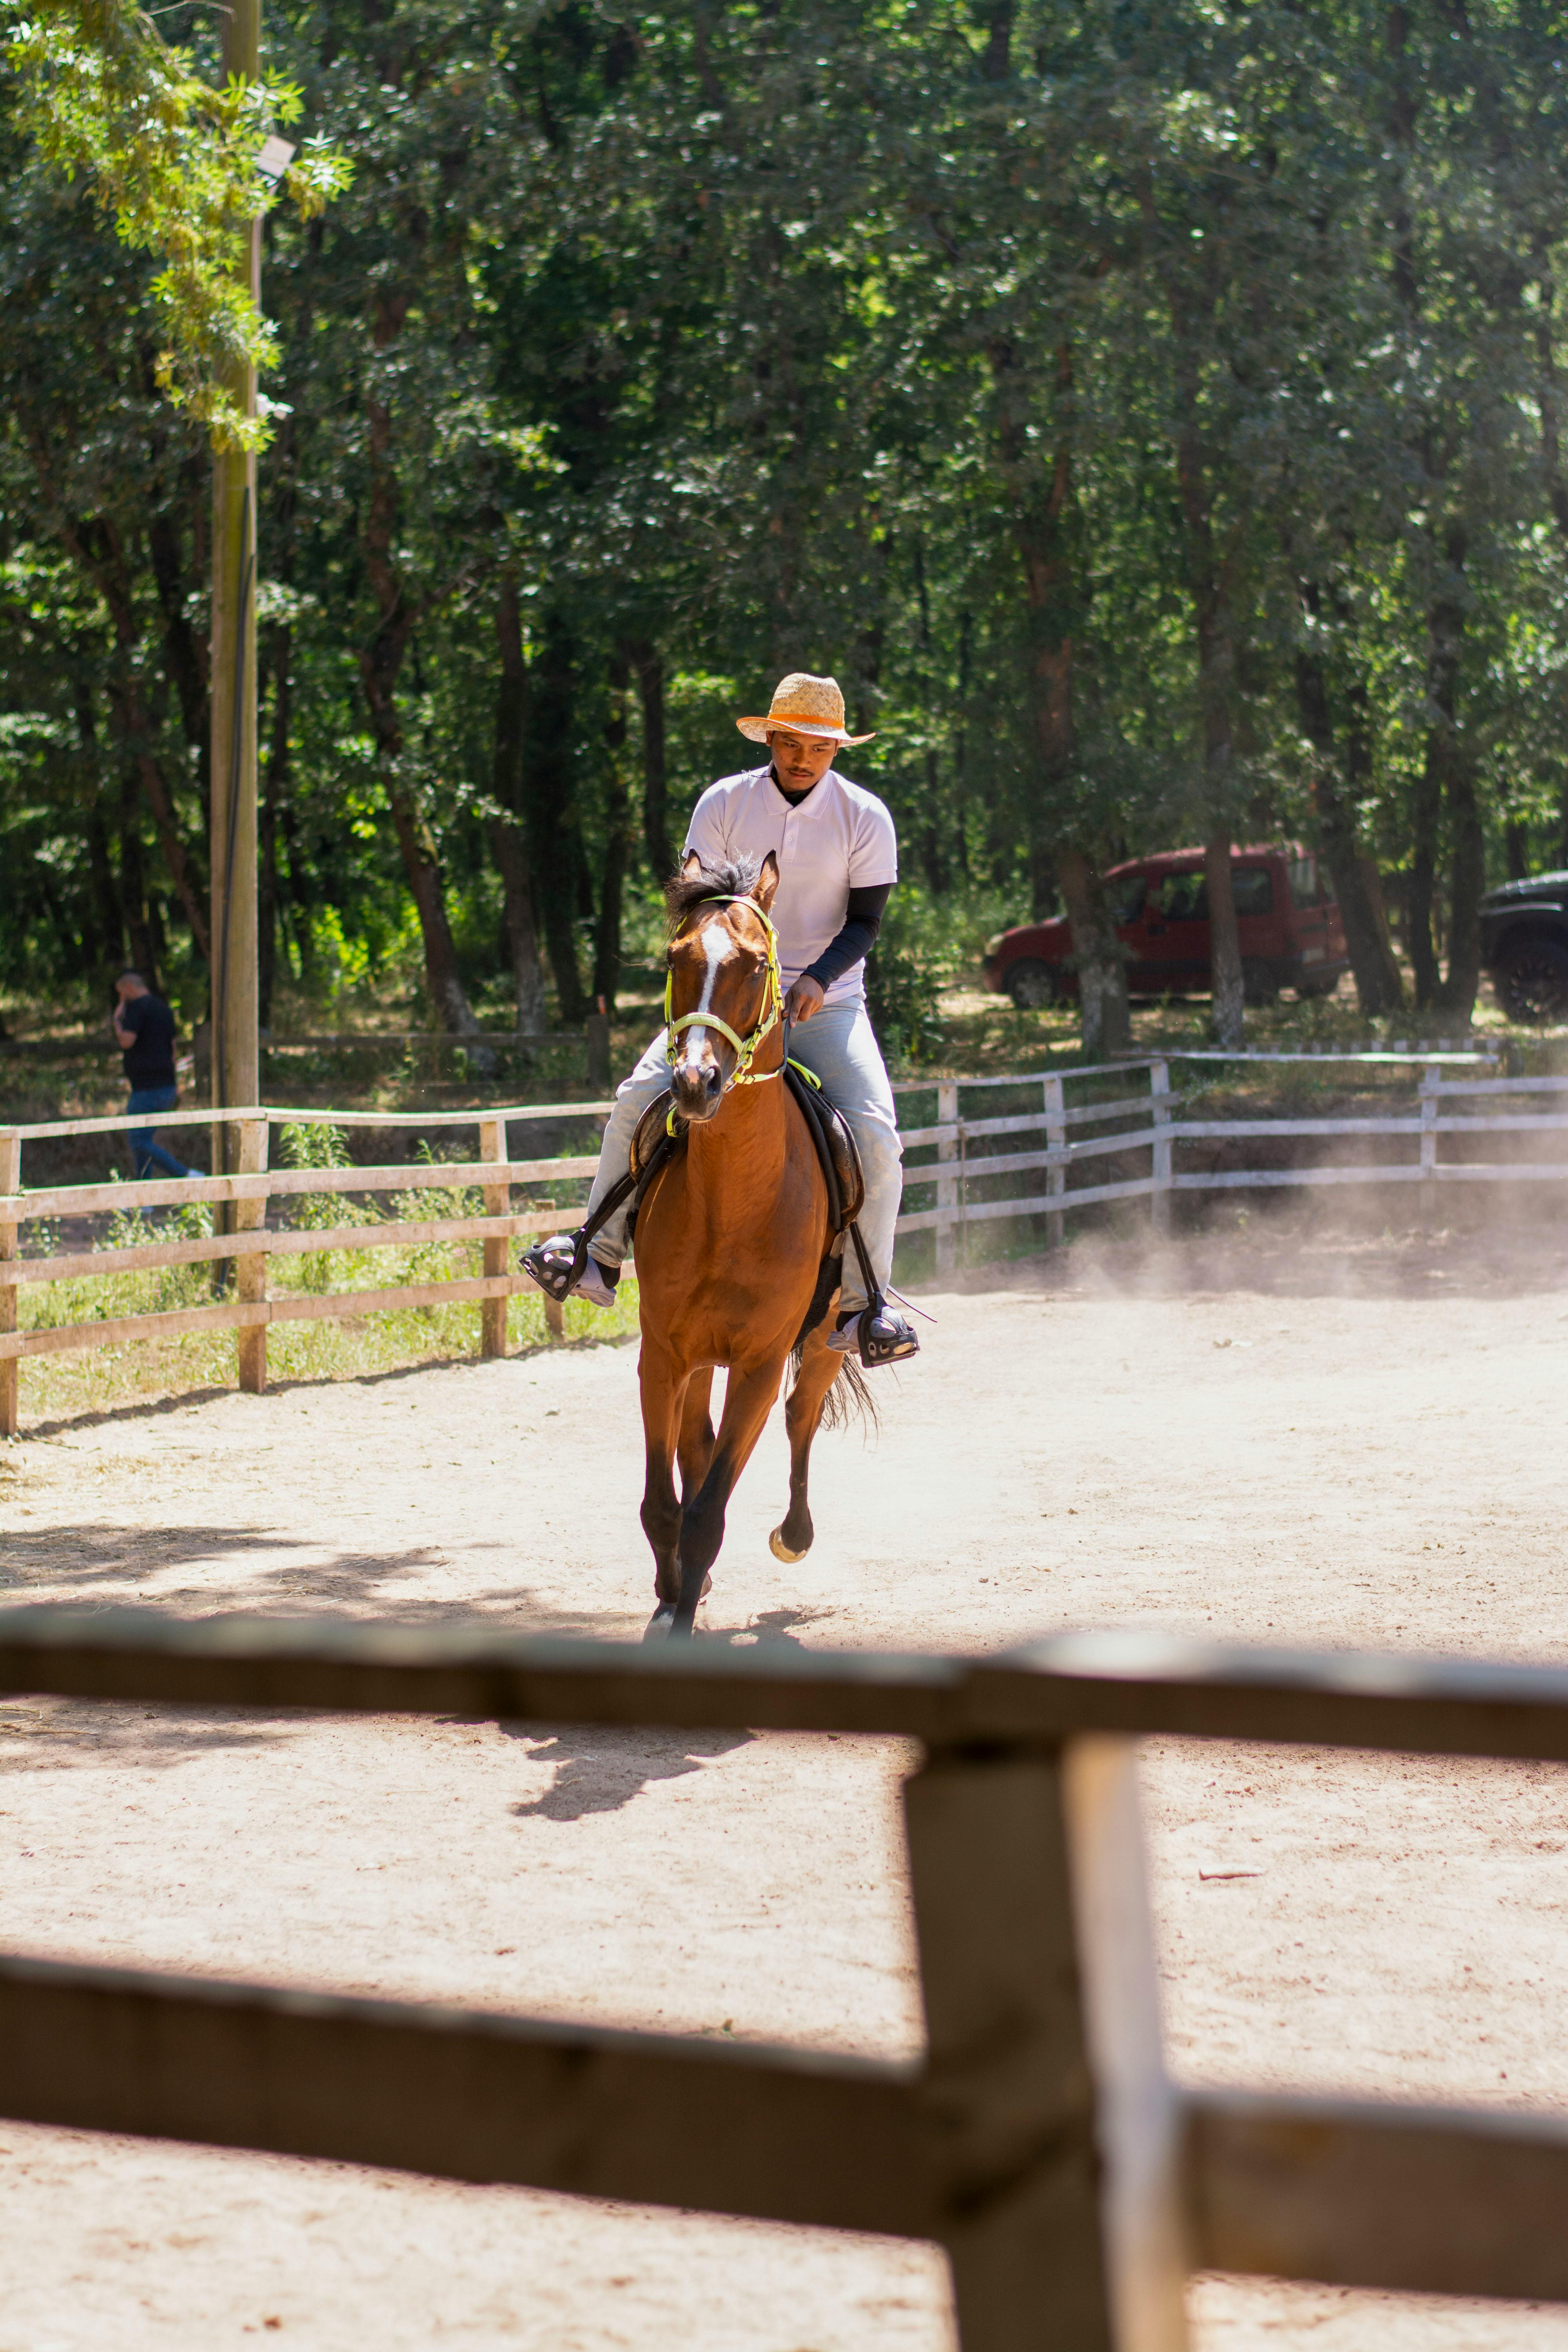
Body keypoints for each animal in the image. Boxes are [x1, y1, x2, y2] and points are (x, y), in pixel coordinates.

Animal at [630, 847, 865, 1637]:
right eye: (676, 957)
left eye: (757, 964)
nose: (695, 1082)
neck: (734, 1204)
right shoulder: (662, 1354)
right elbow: (665, 1503)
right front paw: (673, 1597)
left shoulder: (760, 1365)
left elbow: (708, 1511)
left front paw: (681, 1615)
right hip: (701, 1358)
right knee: (696, 1444)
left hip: (825, 1340)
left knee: (799, 1417)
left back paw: (795, 1533)